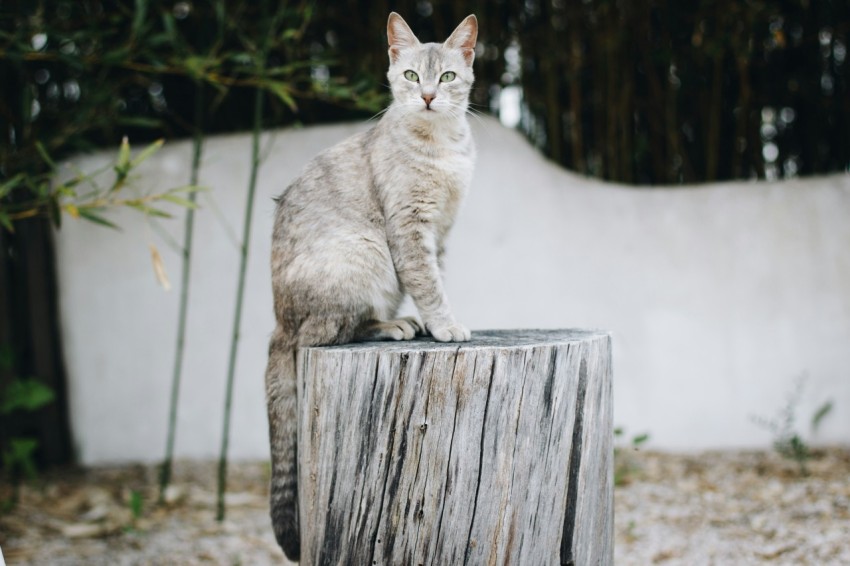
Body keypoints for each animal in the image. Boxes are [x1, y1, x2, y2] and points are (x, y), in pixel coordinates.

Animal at [264, 11, 476, 560]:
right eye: (410, 76)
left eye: (446, 76)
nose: (427, 95)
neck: (440, 143)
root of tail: (279, 323)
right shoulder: (408, 229)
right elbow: (428, 283)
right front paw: (444, 325)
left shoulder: (440, 231)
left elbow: (435, 277)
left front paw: (438, 321)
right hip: (361, 252)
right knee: (326, 336)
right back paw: (390, 326)